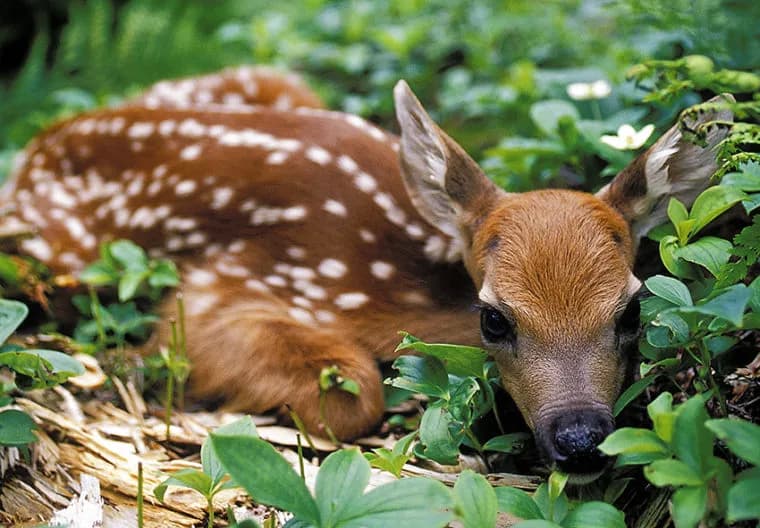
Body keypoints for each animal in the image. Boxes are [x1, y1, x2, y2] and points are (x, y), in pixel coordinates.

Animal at [0, 65, 732, 480]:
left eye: (631, 310)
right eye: (494, 319)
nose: (578, 436)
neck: (395, 279)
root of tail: (43, 139)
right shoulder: (226, 288)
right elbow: (353, 392)